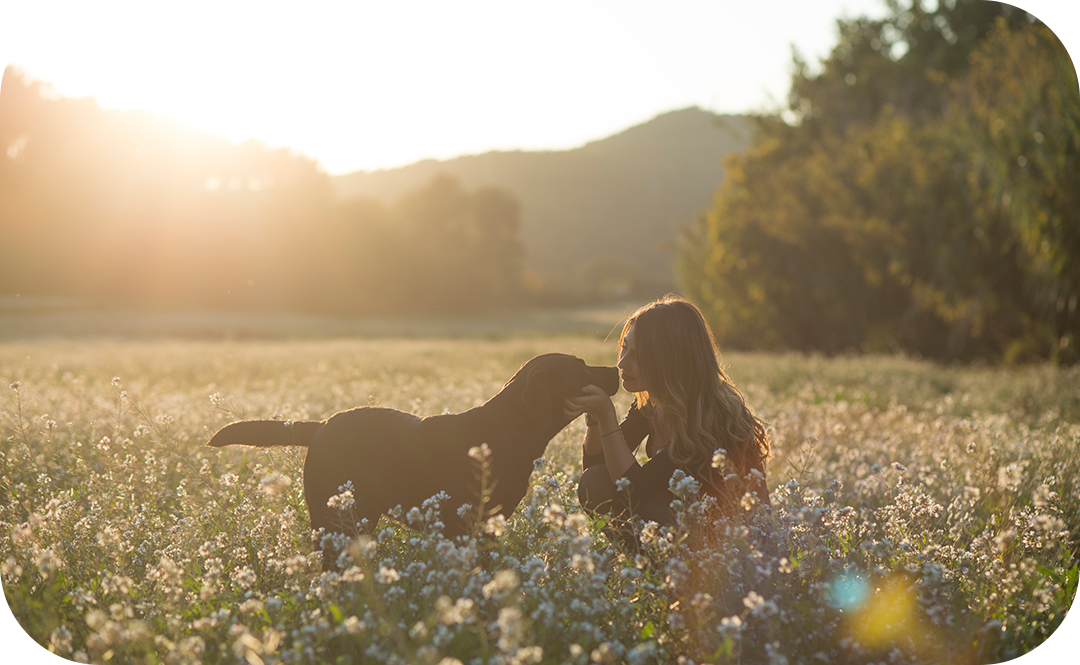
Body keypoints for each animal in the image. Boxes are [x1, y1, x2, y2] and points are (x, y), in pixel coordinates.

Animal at [208, 354, 617, 565]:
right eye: (581, 367)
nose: (615, 369)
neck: (509, 430)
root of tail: (321, 425)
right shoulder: (461, 527)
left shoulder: (486, 526)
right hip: (331, 518)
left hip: (361, 516)